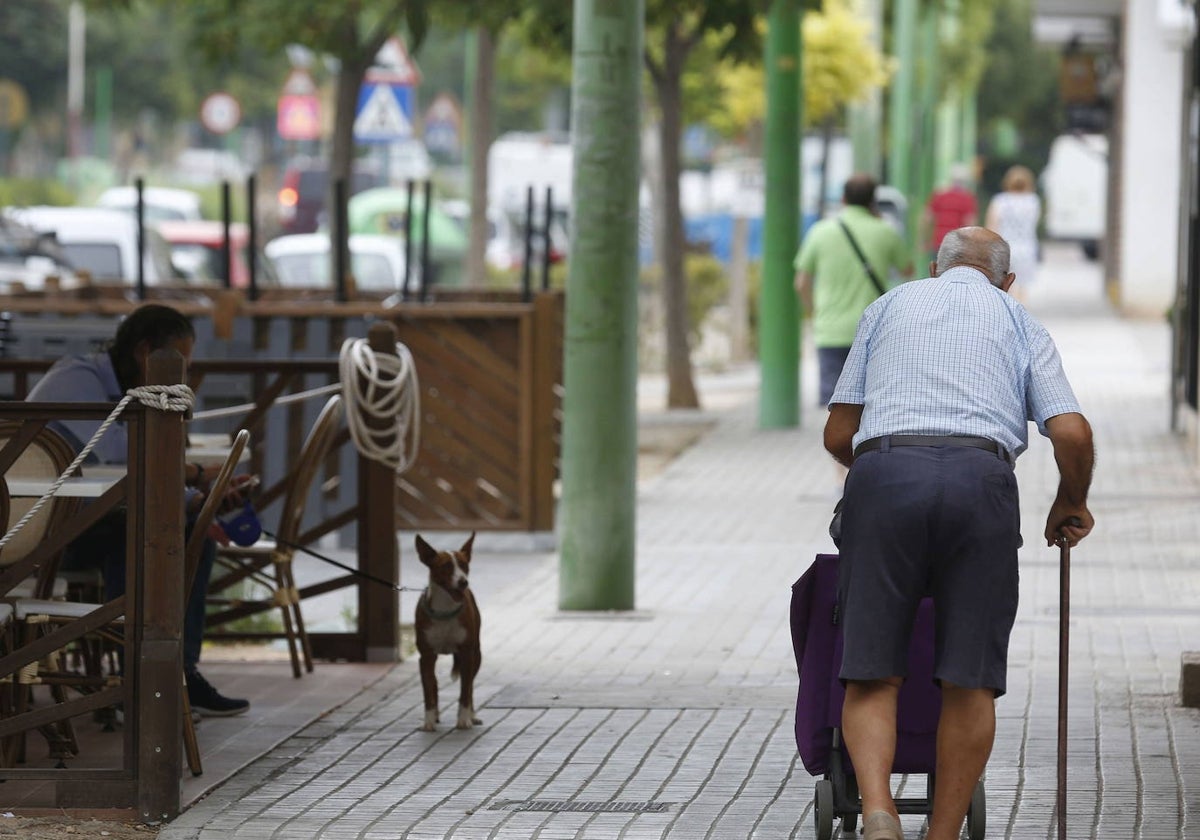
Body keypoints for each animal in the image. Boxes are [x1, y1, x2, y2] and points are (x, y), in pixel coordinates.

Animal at [415, 535, 480, 729]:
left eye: (464, 565)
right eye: (446, 566)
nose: (463, 582)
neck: (445, 611)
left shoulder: (467, 654)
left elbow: (465, 690)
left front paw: (464, 719)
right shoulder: (426, 656)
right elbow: (428, 691)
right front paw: (429, 721)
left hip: (477, 654)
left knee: (470, 686)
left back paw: (472, 715)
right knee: (434, 684)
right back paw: (436, 715)